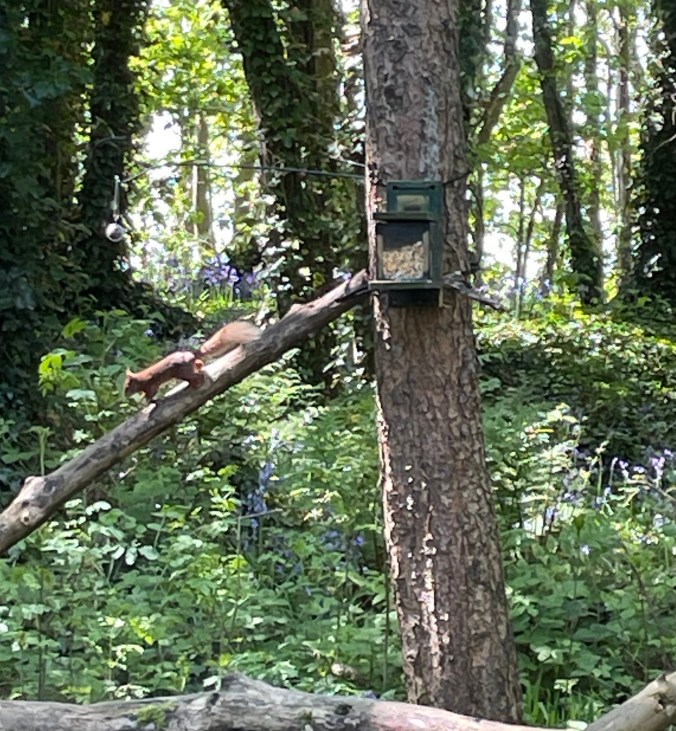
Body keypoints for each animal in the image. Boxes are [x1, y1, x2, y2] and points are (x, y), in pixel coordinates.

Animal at [124, 320, 261, 401]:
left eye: (127, 386)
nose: (125, 396)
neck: (140, 378)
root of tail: (192, 354)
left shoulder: (151, 384)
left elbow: (151, 393)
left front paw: (145, 400)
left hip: (183, 371)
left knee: (196, 375)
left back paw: (197, 381)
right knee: (199, 363)